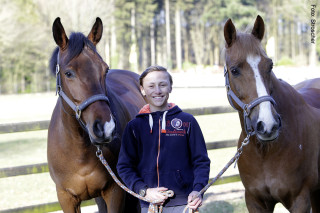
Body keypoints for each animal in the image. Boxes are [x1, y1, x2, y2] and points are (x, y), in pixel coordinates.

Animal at [47, 17, 145, 212]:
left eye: (105, 70)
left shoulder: (115, 190)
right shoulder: (66, 198)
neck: (79, 150)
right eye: (68, 73)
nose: (105, 128)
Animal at [224, 14, 320, 211]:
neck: (264, 152)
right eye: (234, 70)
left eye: (270, 66)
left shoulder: (300, 200)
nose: (268, 125)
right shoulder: (254, 200)